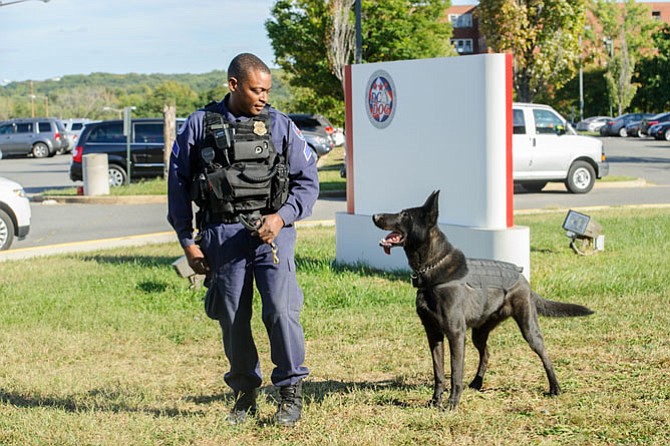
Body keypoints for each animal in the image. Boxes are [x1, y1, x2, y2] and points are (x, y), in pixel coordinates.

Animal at [370, 190, 596, 410]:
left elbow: (455, 372)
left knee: (544, 355)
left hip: (528, 328)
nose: (374, 215)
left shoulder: (455, 333)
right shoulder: (433, 334)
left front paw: (452, 404)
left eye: (404, 215)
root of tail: (522, 276)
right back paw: (477, 382)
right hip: (479, 332)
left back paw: (555, 387)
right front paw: (435, 401)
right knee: (486, 353)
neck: (432, 268)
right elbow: (439, 372)